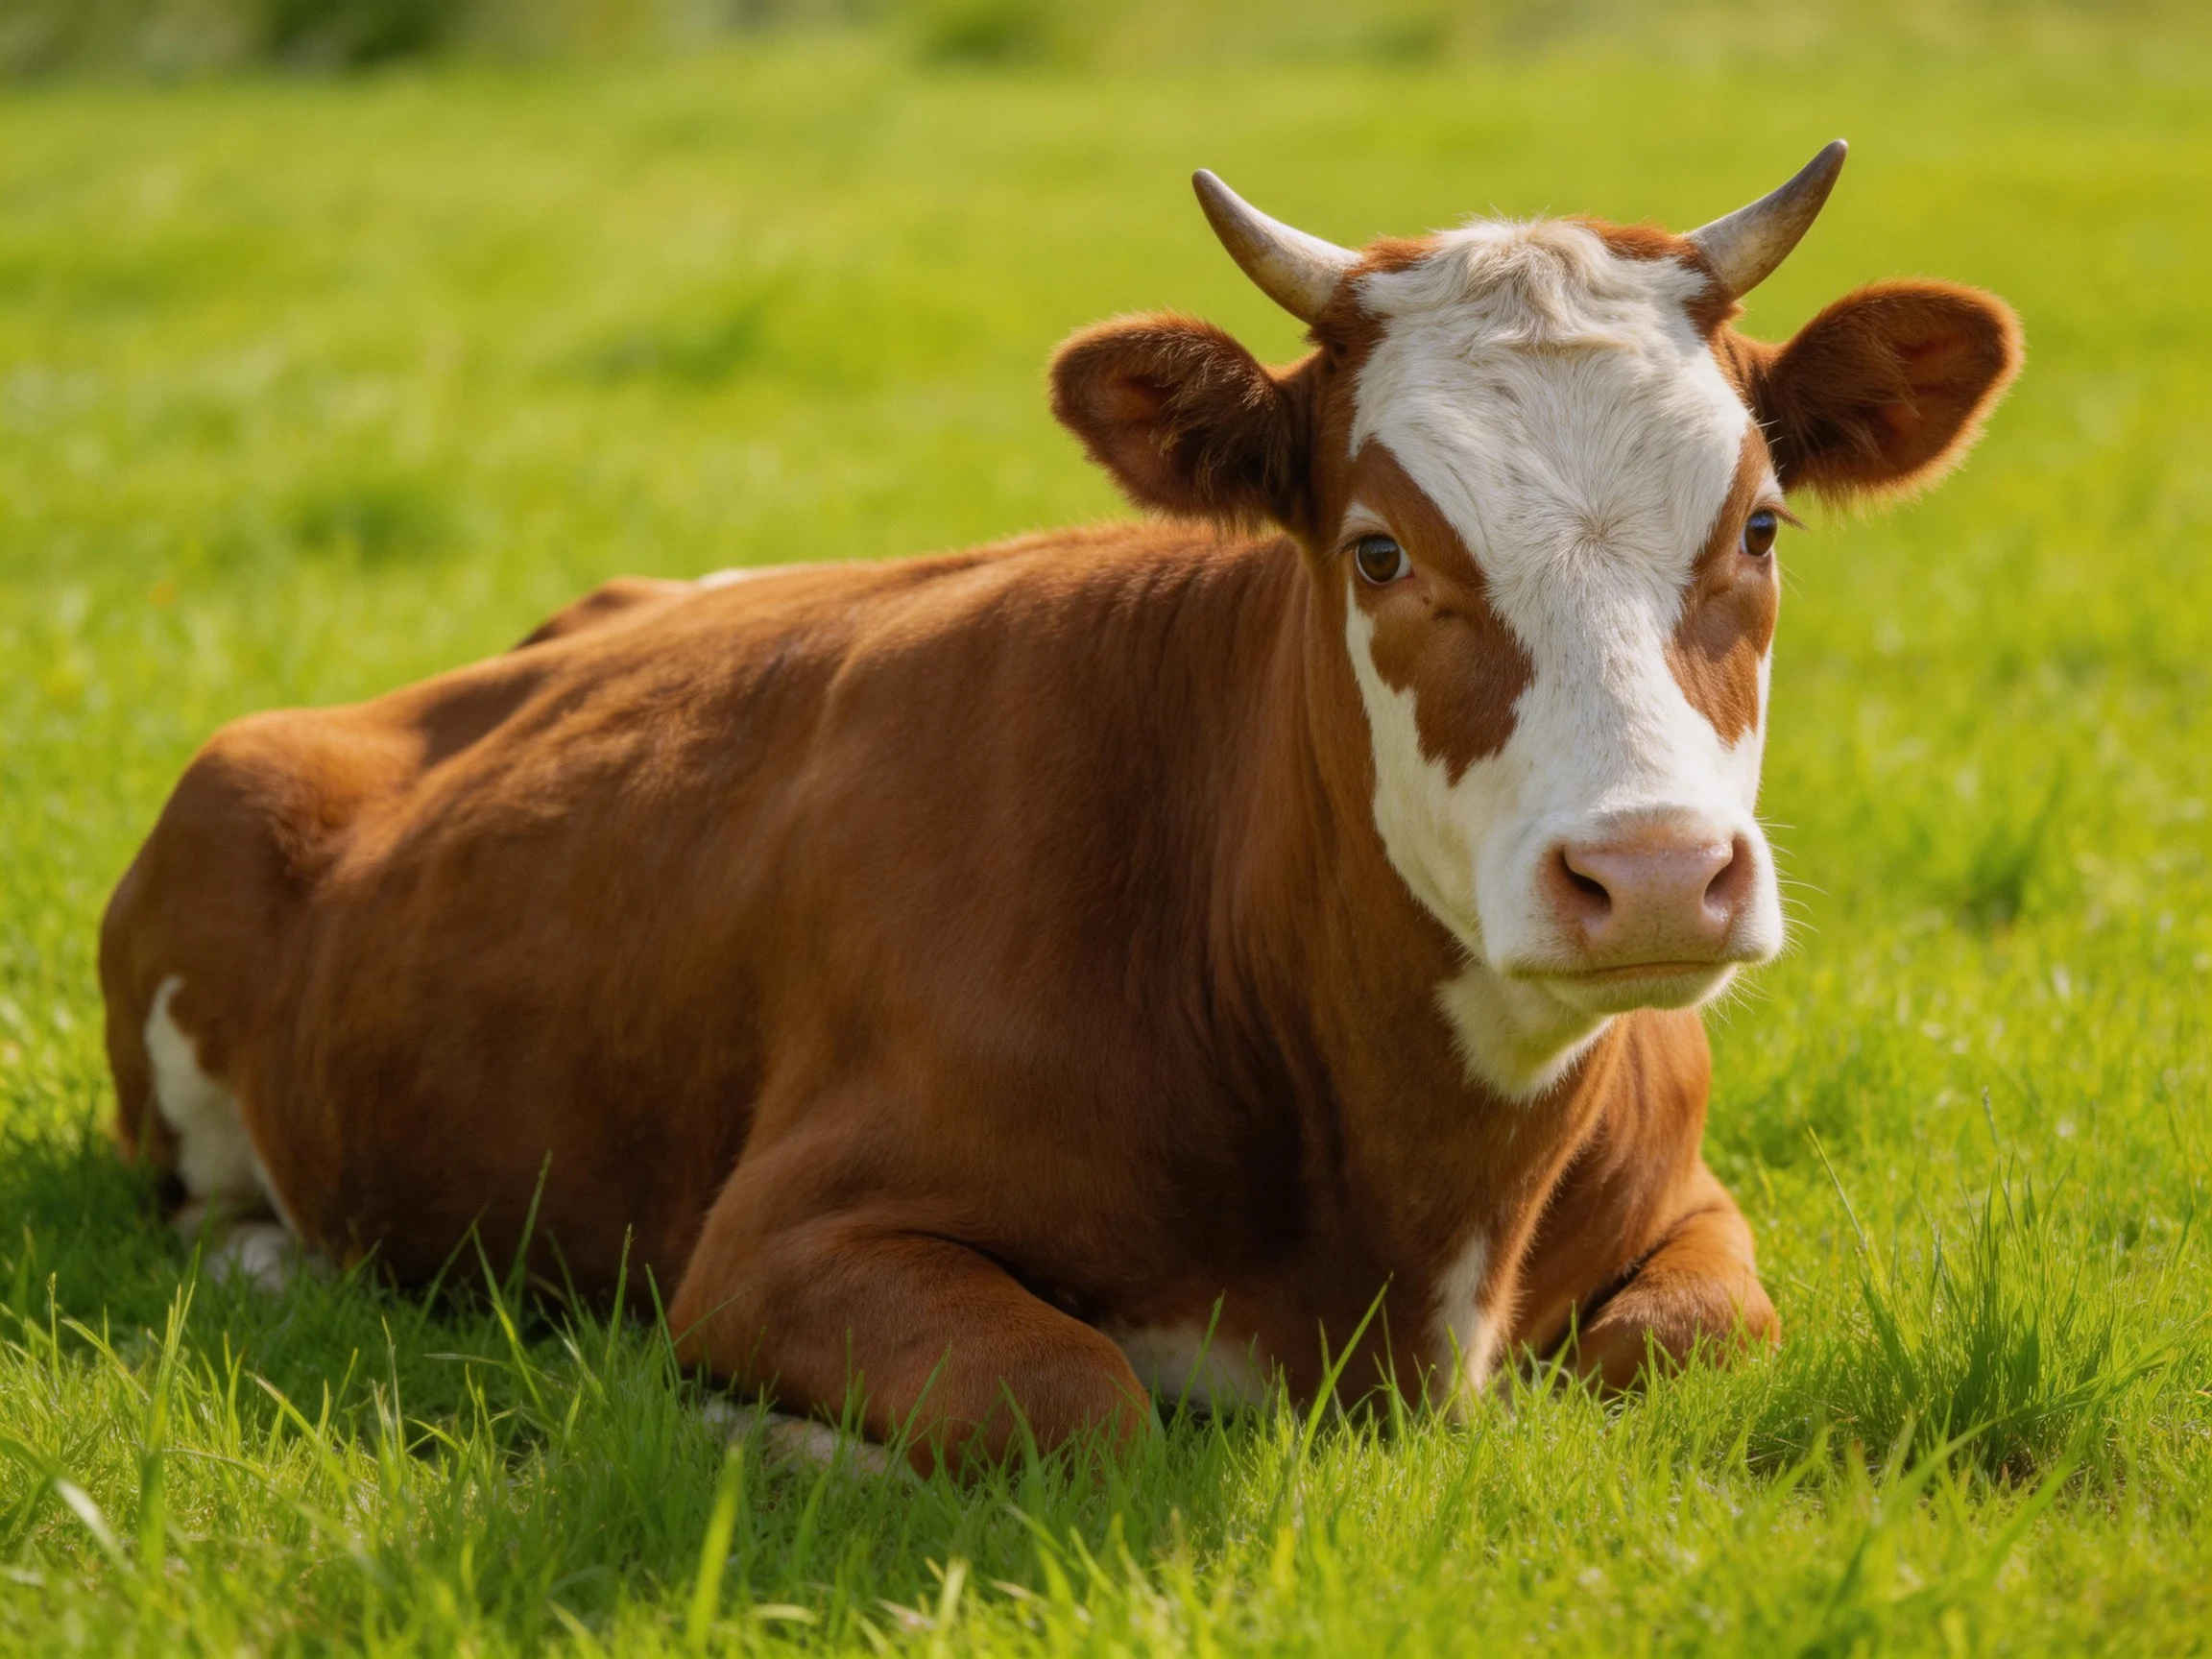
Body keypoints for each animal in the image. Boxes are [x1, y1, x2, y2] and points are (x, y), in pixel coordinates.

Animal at [100, 142, 2020, 1474]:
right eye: (1378, 548)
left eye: (1758, 524)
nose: (1653, 875)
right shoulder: (776, 1238)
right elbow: (1064, 1397)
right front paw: (727, 1430)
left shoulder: (1692, 1207)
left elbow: (1674, 1346)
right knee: (204, 1220)